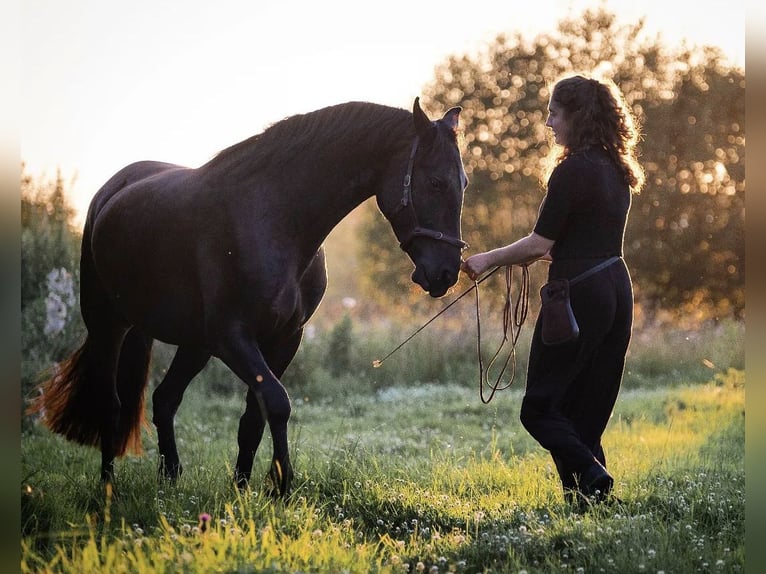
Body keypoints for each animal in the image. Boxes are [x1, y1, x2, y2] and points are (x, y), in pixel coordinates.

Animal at [30, 97, 468, 498]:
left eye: (463, 183)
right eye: (436, 182)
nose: (446, 272)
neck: (273, 219)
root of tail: (110, 193)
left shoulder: (284, 338)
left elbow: (252, 418)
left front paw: (243, 489)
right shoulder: (233, 337)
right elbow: (276, 401)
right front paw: (281, 485)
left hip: (193, 343)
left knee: (164, 399)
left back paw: (170, 478)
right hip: (109, 325)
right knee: (111, 404)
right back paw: (107, 488)